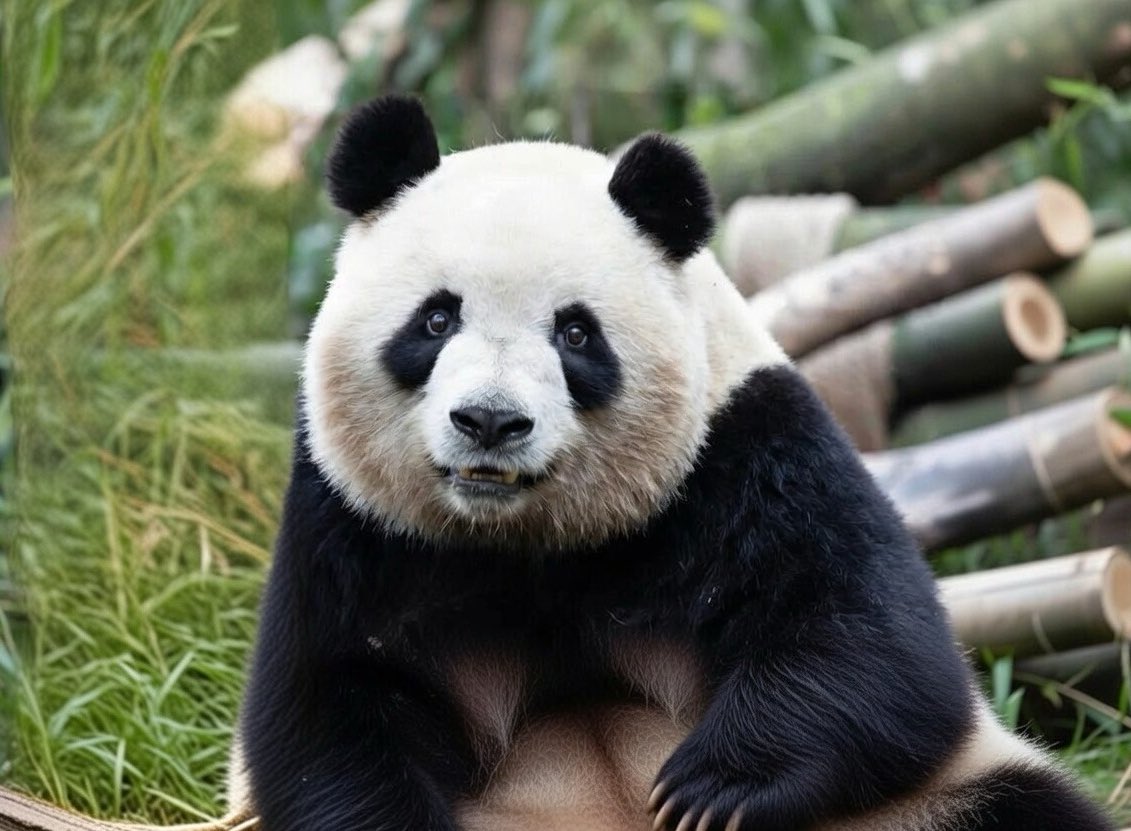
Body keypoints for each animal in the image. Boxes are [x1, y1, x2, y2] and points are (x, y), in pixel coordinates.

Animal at [233, 94, 1115, 831]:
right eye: (436, 318)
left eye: (575, 333)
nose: (489, 421)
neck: (527, 540)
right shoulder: (354, 522)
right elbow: (328, 708)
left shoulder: (745, 447)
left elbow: (875, 641)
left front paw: (709, 787)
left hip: (923, 806)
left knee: (1023, 806)